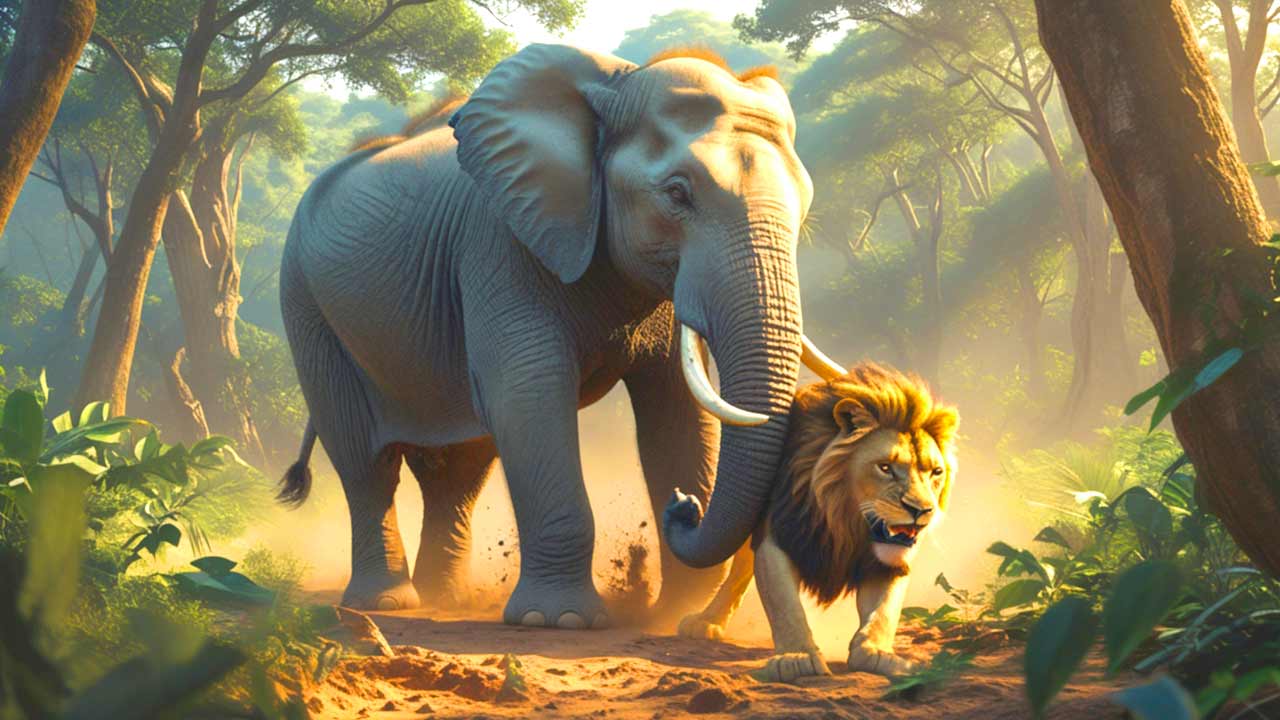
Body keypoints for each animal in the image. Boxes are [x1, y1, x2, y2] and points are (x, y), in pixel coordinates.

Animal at [277, 42, 843, 629]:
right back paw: (384, 603)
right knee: (365, 462)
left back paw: (446, 600)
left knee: (459, 468)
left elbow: (676, 410)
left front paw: (670, 616)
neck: (616, 87)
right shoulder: (499, 242)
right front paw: (558, 621)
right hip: (305, 302)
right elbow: (530, 393)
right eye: (677, 193)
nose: (683, 507)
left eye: (804, 205)